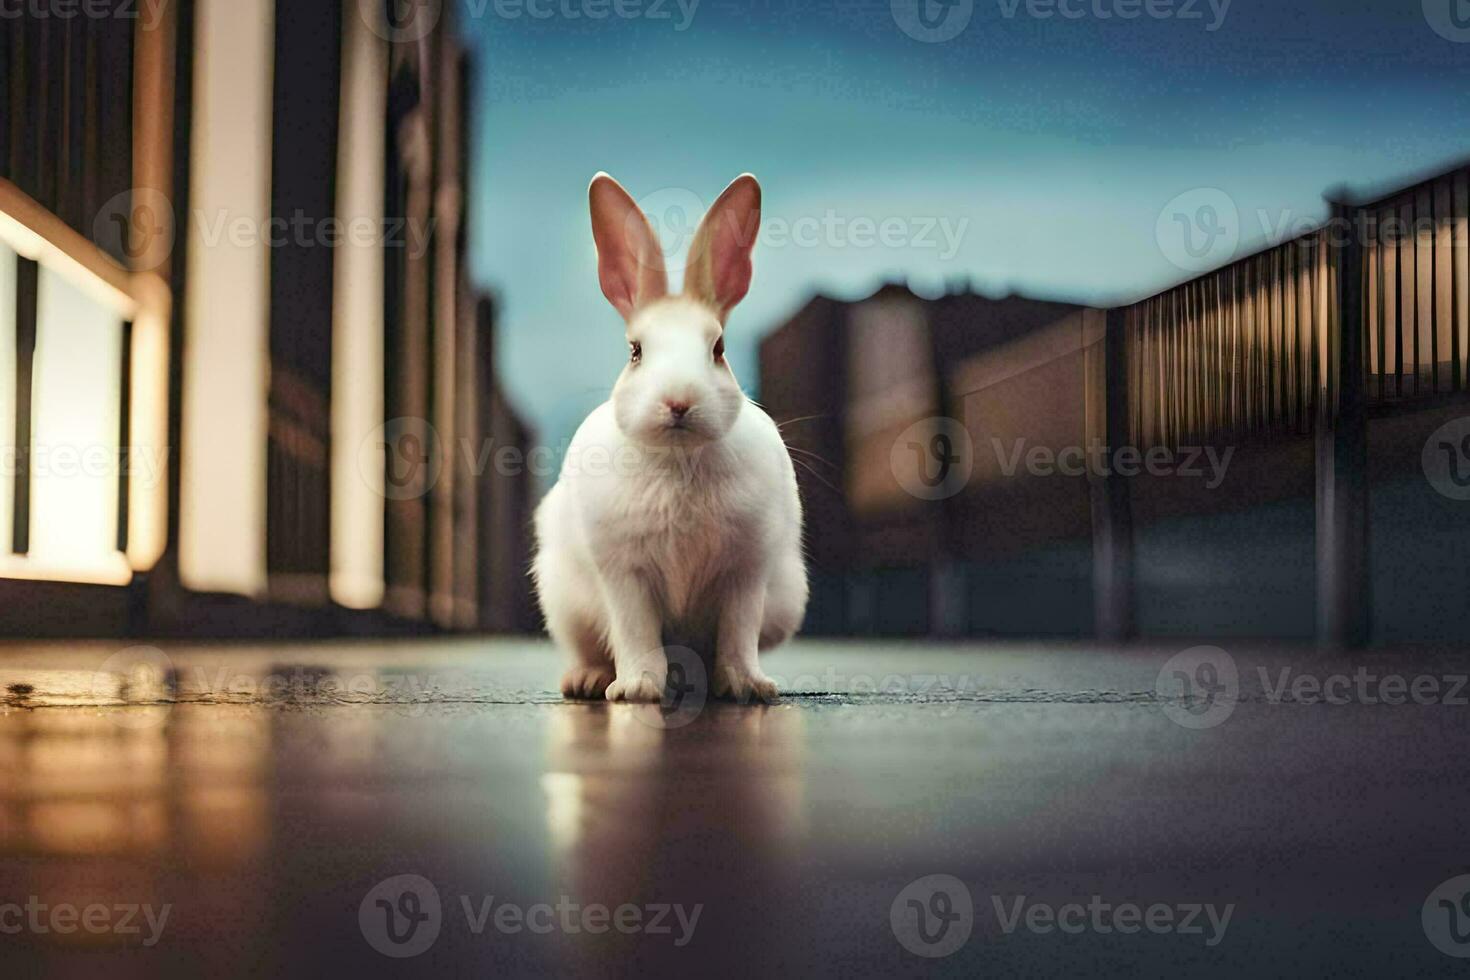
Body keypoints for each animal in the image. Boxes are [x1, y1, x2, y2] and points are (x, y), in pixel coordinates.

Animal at [535, 172, 805, 702]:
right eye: (635, 351)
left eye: (718, 348)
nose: (679, 401)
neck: (679, 459)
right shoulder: (625, 574)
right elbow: (636, 632)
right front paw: (636, 689)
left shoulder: (746, 572)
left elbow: (738, 634)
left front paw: (746, 686)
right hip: (565, 605)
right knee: (589, 648)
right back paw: (588, 680)